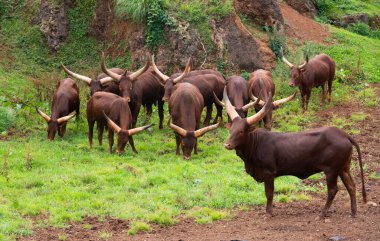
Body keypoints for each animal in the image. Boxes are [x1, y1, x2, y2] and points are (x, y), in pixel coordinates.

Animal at [221, 88, 366, 217]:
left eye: (241, 131)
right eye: (231, 130)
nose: (227, 144)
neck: (255, 144)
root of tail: (343, 134)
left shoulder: (269, 173)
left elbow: (269, 193)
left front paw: (269, 212)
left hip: (332, 170)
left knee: (333, 190)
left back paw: (322, 213)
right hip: (343, 168)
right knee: (351, 186)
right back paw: (353, 212)